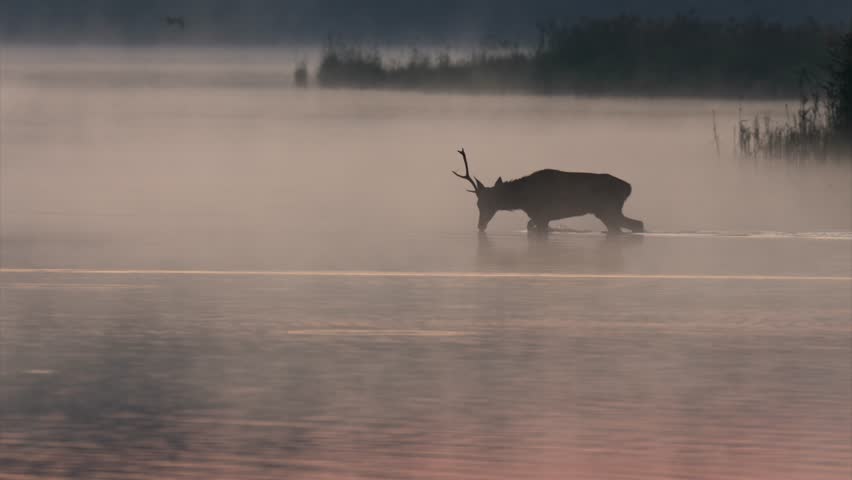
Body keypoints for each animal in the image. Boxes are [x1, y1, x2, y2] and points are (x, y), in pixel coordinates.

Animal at [452, 148, 644, 234]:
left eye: (489, 202)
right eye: (478, 204)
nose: (480, 225)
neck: (523, 198)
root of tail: (628, 187)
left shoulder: (542, 215)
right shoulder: (539, 217)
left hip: (608, 209)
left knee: (635, 224)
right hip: (606, 212)